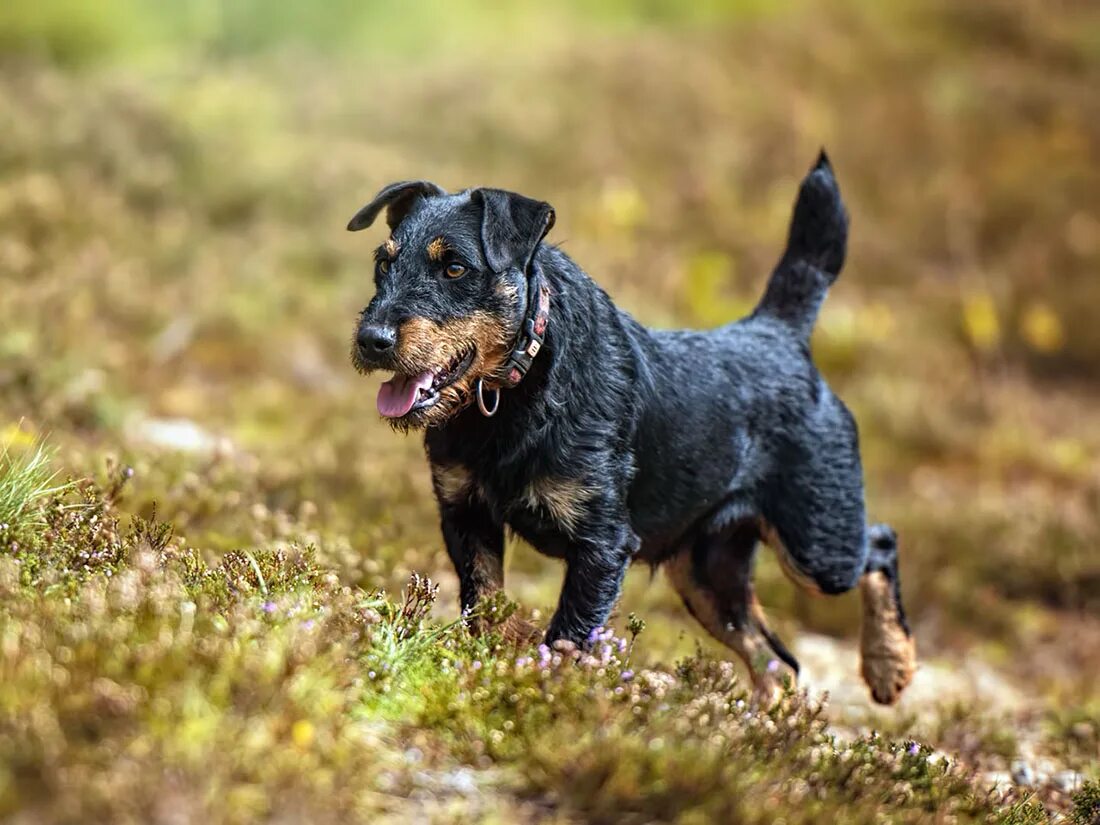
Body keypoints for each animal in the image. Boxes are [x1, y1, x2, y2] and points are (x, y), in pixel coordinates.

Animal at [347, 156, 915, 712]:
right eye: (383, 263)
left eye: (455, 267)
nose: (371, 339)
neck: (515, 390)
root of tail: (779, 333)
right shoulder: (466, 517)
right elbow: (484, 606)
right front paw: (484, 670)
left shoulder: (602, 544)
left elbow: (568, 636)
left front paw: (543, 694)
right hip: (707, 573)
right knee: (777, 659)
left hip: (817, 544)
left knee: (879, 544)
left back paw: (887, 664)